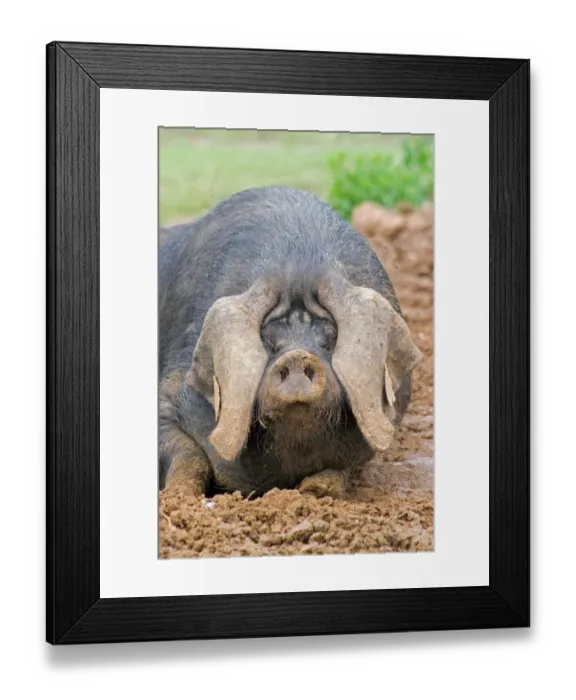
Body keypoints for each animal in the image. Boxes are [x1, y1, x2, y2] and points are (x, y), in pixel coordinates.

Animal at [158, 186, 423, 499]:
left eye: (329, 338)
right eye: (268, 340)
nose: (297, 356)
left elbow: (344, 468)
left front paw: (315, 490)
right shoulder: (169, 391)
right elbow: (189, 455)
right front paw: (180, 497)